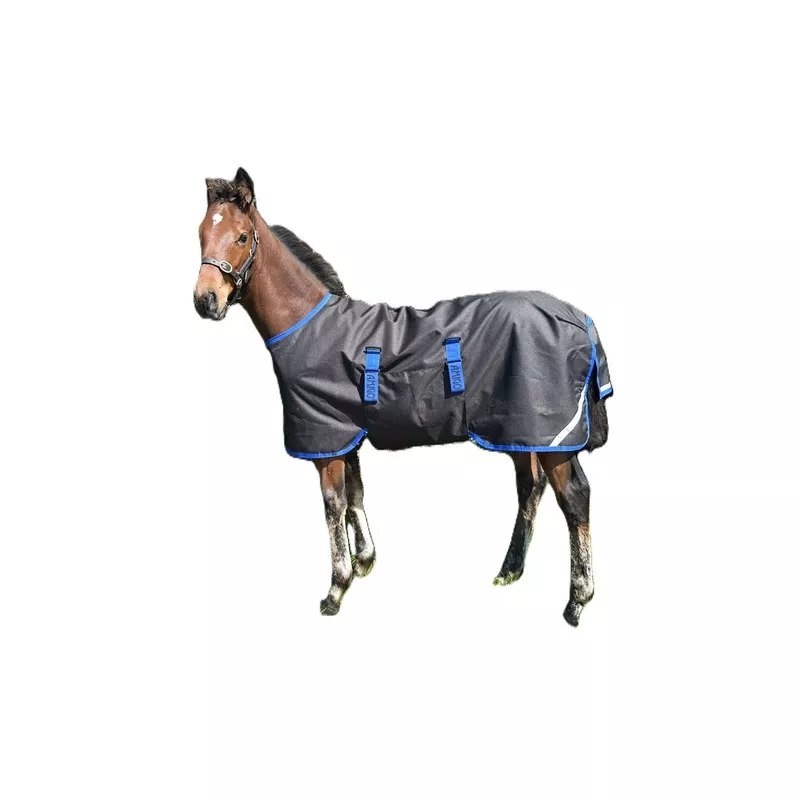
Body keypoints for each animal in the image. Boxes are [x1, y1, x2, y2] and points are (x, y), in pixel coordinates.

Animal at [193, 168, 613, 626]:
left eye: (241, 236)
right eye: (201, 234)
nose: (205, 300)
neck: (309, 328)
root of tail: (579, 318)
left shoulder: (325, 440)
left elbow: (333, 505)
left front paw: (336, 589)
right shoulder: (344, 435)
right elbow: (356, 494)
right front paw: (364, 562)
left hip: (554, 437)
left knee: (574, 498)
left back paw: (577, 599)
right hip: (518, 430)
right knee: (531, 488)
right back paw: (509, 570)